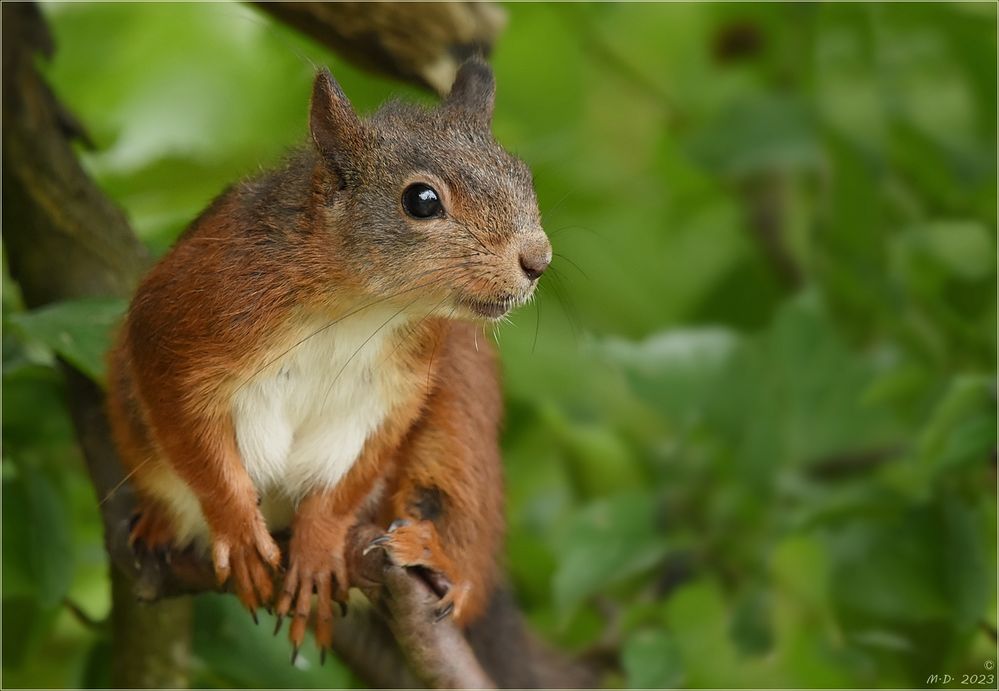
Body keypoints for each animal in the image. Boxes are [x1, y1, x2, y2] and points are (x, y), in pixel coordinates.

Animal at [105, 56, 552, 656]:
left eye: (523, 176)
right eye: (422, 200)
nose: (538, 259)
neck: (357, 307)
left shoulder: (395, 391)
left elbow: (348, 483)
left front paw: (318, 549)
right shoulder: (179, 329)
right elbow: (195, 445)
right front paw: (237, 530)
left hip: (460, 419)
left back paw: (435, 554)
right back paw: (159, 523)